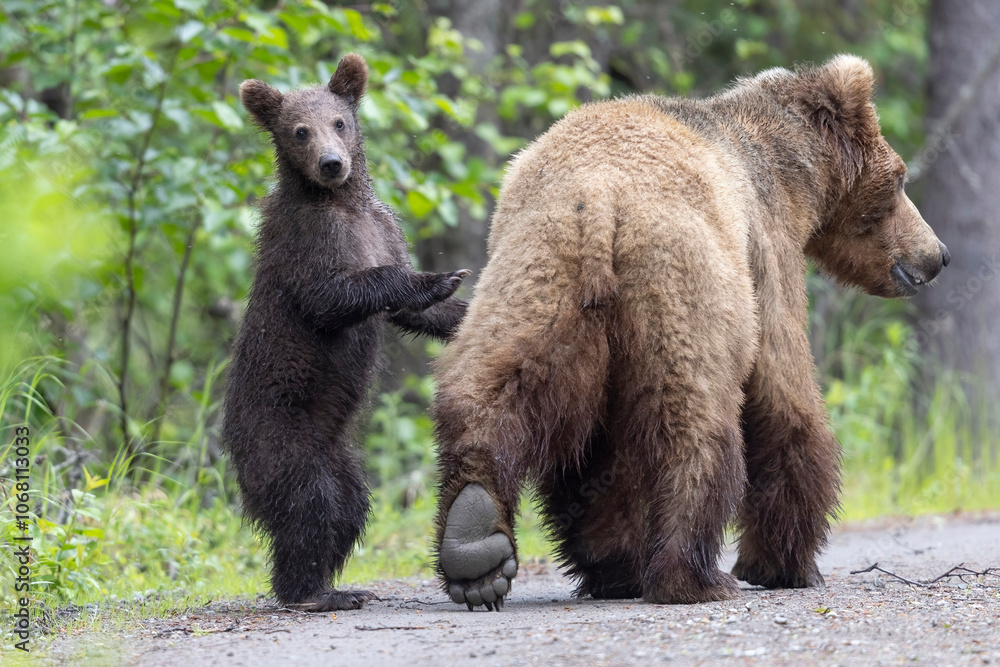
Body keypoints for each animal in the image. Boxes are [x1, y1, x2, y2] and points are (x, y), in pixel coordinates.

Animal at [223, 53, 470, 612]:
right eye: (299, 130)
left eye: (339, 121)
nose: (333, 164)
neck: (340, 202)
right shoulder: (306, 244)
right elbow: (331, 297)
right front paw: (435, 278)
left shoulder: (383, 226)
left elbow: (416, 314)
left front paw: (457, 298)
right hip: (279, 435)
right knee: (309, 502)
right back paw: (310, 593)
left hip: (340, 453)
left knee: (349, 505)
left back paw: (335, 583)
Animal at [431, 54, 949, 610]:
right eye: (901, 178)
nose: (938, 254)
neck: (790, 172)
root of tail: (599, 200)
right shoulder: (764, 249)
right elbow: (782, 391)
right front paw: (787, 565)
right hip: (681, 277)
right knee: (695, 421)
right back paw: (694, 576)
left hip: (533, 275)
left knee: (499, 388)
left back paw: (480, 545)